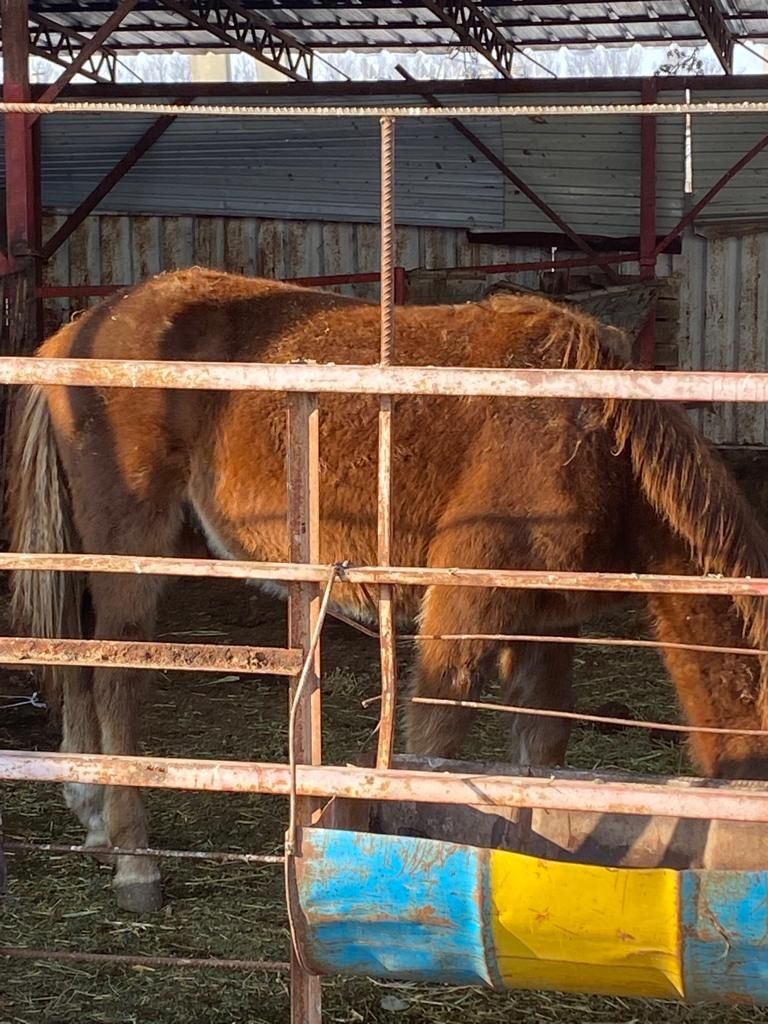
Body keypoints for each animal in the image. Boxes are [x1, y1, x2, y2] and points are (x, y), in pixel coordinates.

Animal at [9, 266, 768, 913]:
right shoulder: (465, 607)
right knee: (116, 679)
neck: (596, 435)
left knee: (77, 664)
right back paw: (136, 864)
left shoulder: (546, 622)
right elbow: (438, 738)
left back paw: (93, 818)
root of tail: (75, 335)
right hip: (130, 551)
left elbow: (542, 749)